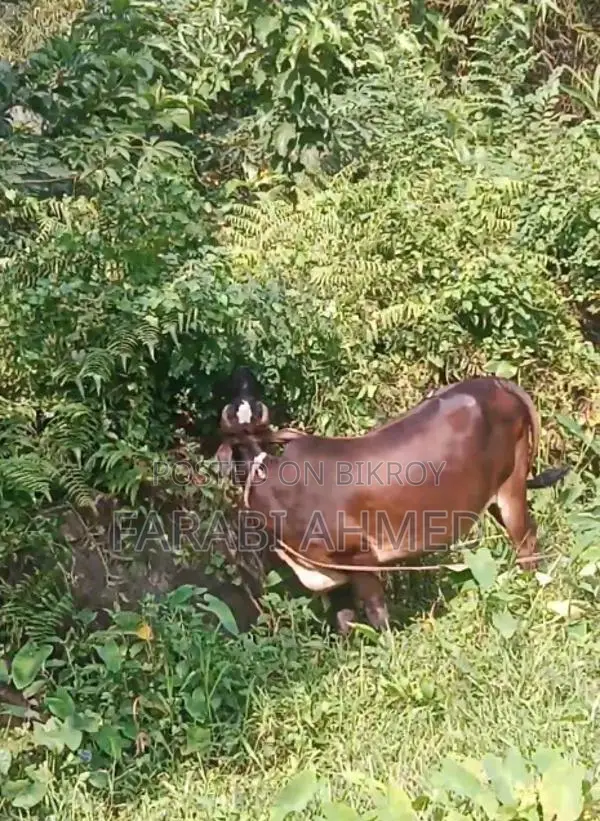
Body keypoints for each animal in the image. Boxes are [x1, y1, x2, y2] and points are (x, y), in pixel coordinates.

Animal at [214, 376, 569, 635]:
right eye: (237, 444)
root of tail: (498, 382)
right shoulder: (330, 571)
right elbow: (344, 621)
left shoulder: (361, 557)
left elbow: (376, 612)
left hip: (512, 487)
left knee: (526, 542)